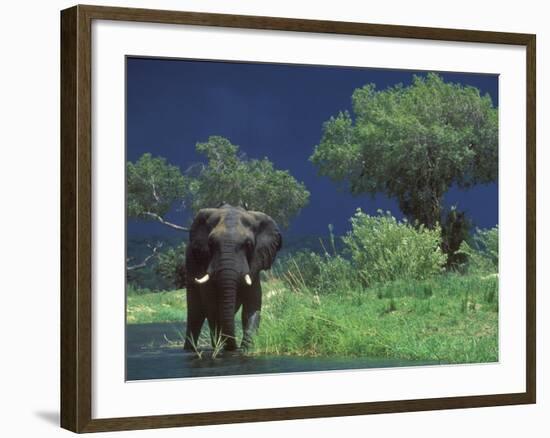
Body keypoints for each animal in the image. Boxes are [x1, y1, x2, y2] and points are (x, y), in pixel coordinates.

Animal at [184, 203, 282, 352]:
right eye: (211, 244)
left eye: (248, 244)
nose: (234, 348)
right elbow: (212, 307)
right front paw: (222, 346)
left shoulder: (254, 267)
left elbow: (251, 307)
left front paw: (246, 349)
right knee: (195, 314)